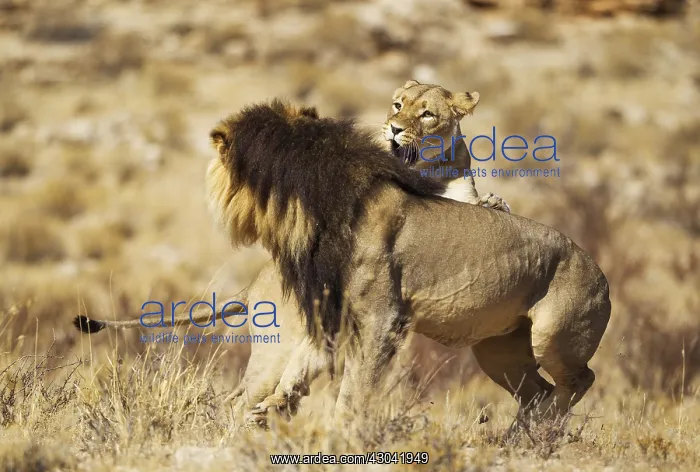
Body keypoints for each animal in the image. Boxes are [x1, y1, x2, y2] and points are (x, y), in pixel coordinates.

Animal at [206, 99, 611, 427]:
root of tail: (602, 275)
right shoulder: (335, 314)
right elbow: (303, 363)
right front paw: (275, 406)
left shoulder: (381, 319)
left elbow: (353, 391)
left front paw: (340, 436)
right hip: (499, 351)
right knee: (537, 391)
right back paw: (521, 437)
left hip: (553, 336)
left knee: (580, 380)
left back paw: (545, 428)